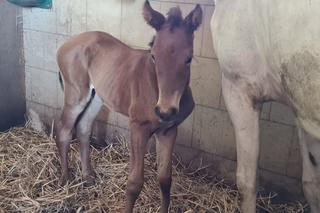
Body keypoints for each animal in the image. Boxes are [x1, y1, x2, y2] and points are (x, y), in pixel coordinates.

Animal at [54, 0, 201, 212]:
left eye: (189, 58)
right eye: (154, 56)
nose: (165, 111)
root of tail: (65, 44)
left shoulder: (169, 130)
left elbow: (165, 179)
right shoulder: (138, 128)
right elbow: (134, 183)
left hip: (97, 96)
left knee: (83, 127)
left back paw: (87, 177)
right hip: (76, 94)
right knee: (64, 130)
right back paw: (65, 179)